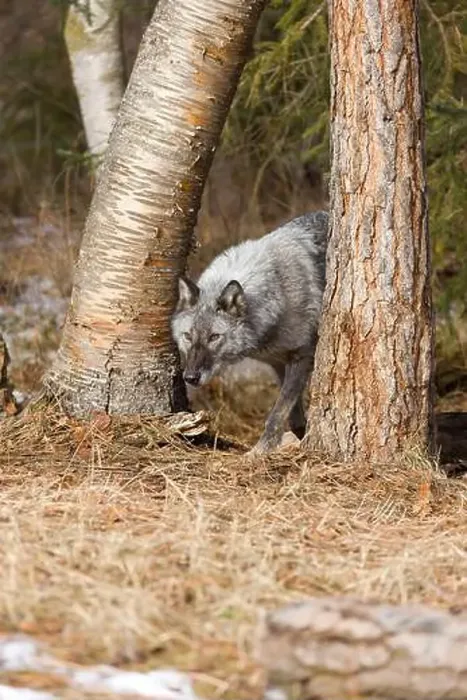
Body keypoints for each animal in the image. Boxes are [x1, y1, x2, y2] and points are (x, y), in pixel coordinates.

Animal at [171, 211, 329, 453]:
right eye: (188, 336)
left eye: (214, 337)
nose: (190, 378)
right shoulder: (277, 364)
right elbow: (293, 415)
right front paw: (299, 436)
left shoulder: (301, 357)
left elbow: (277, 413)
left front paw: (261, 450)